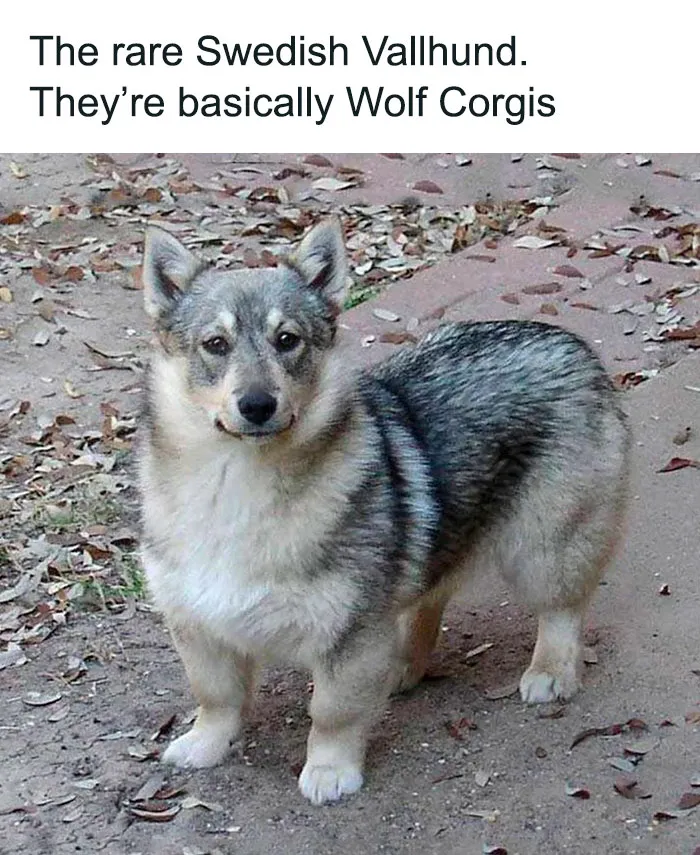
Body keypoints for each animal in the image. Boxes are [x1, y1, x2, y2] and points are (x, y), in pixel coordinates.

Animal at [138, 217, 630, 805]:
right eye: (215, 344)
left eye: (287, 340)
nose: (257, 405)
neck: (236, 482)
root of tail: (569, 341)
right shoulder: (197, 623)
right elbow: (217, 697)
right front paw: (206, 744)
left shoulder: (348, 631)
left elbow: (332, 712)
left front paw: (330, 770)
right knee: (427, 600)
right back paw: (402, 665)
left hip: (544, 548)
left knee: (561, 609)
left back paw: (551, 671)